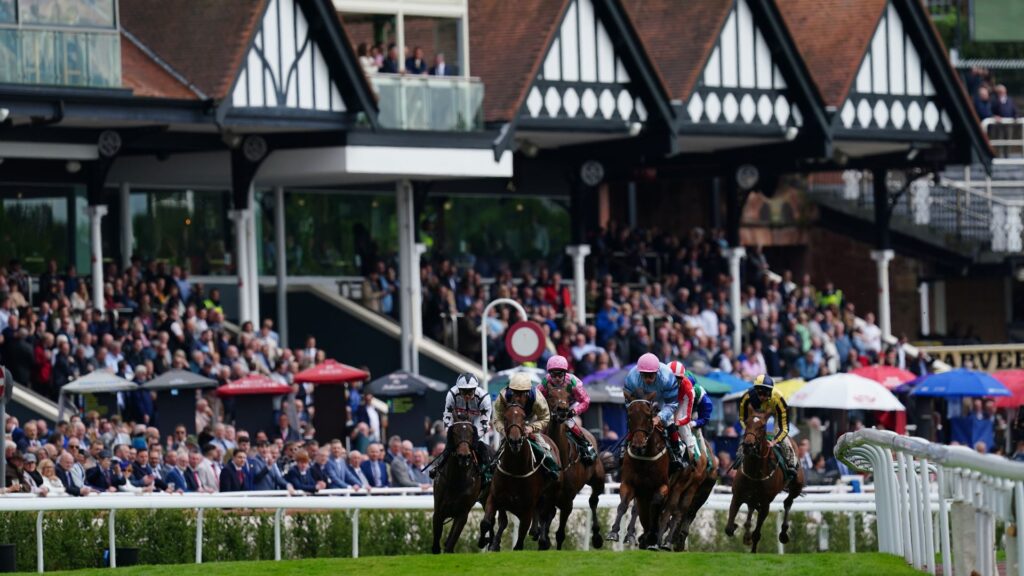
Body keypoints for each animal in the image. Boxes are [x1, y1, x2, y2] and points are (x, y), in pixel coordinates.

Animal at [430, 416, 481, 553]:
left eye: (471, 432)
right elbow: (436, 544)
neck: (456, 481)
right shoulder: (439, 511)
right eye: (455, 432)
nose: (464, 456)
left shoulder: (462, 513)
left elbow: (450, 543)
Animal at [477, 401, 561, 549]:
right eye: (505, 418)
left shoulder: (527, 509)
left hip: (550, 495)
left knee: (548, 514)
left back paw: (543, 540)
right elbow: (487, 522)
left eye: (523, 418)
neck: (515, 471)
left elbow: (520, 539)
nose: (515, 441)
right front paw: (485, 542)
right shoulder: (494, 497)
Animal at [540, 381, 602, 545]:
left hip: (598, 479)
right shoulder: (545, 498)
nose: (562, 410)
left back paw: (597, 536)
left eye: (568, 396)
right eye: (550, 395)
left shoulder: (567, 502)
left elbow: (560, 534)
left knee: (594, 500)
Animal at [606, 389, 671, 545]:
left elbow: (654, 504)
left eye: (648, 415)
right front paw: (614, 532)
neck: (645, 457)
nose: (638, 444)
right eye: (629, 415)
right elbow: (623, 505)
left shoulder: (663, 486)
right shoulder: (629, 483)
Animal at [724, 405, 802, 549]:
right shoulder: (737, 496)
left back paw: (783, 533)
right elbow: (729, 528)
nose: (748, 445)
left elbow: (757, 534)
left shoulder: (766, 503)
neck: (755, 472)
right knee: (751, 508)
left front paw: (752, 543)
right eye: (747, 422)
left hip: (797, 485)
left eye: (762, 426)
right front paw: (739, 529)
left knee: (788, 502)